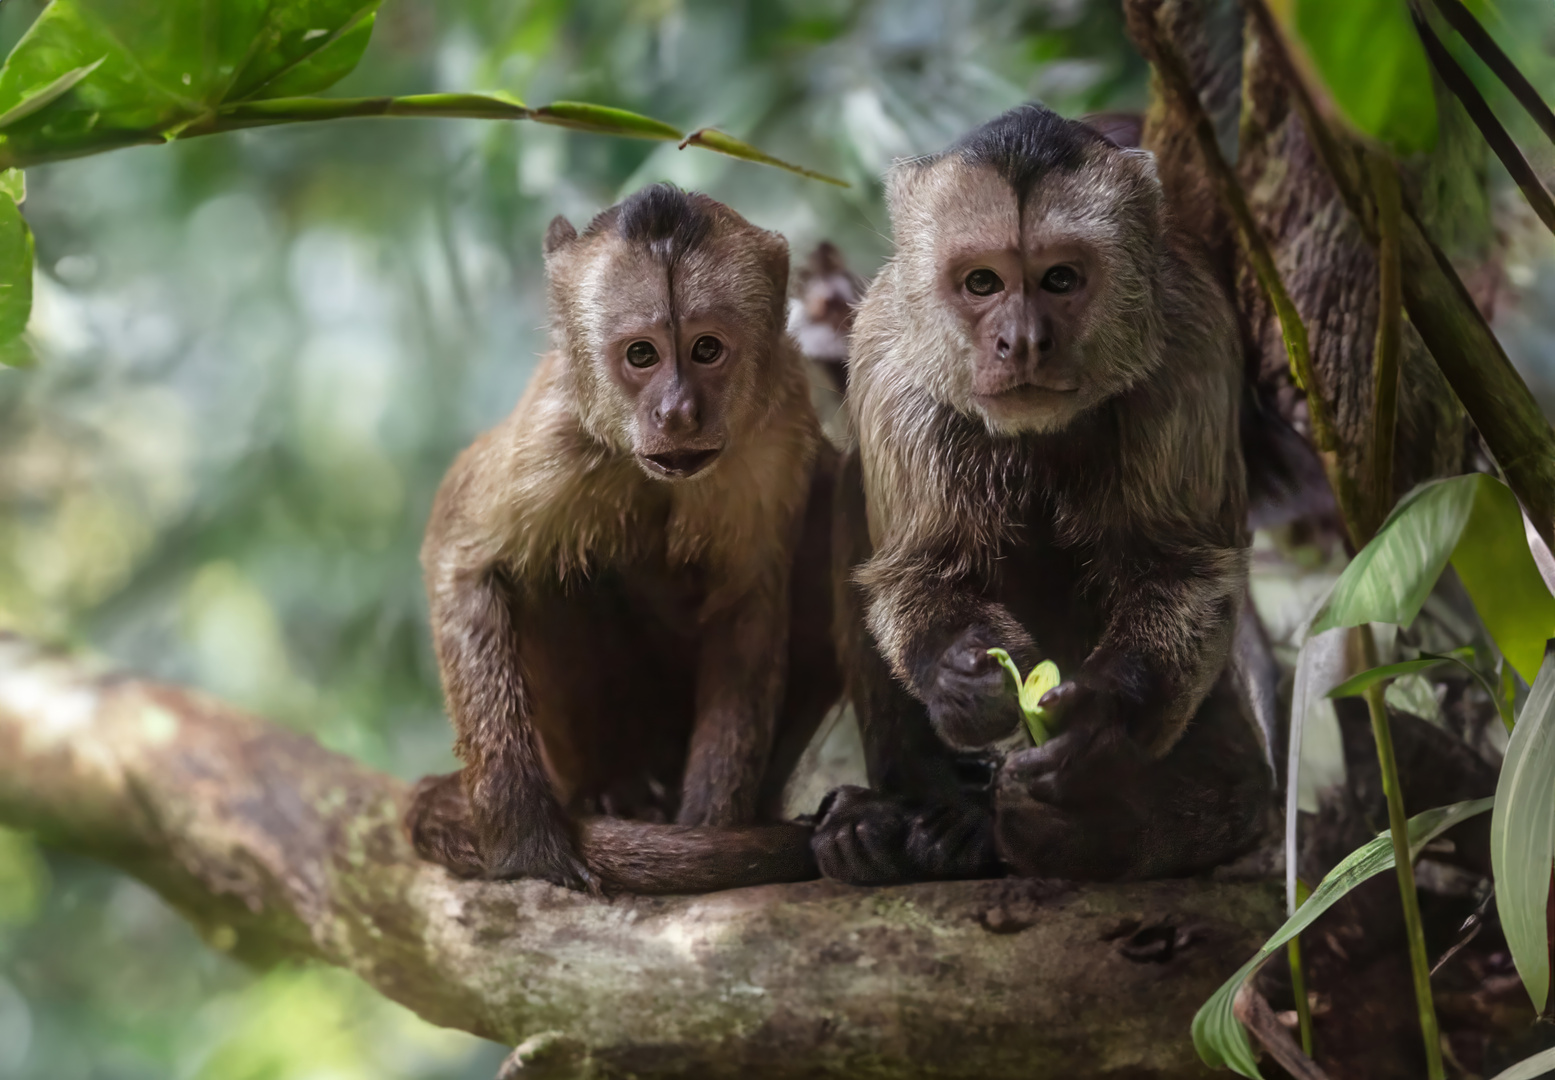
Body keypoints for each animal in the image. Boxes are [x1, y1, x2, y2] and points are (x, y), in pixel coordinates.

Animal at [401, 185, 839, 895]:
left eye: (706, 349)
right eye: (642, 356)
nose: (678, 412)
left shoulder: (778, 432)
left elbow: (749, 606)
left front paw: (711, 831)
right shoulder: (552, 434)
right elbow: (462, 558)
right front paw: (524, 841)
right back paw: (615, 792)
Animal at [821, 105, 1268, 888]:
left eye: (1060, 279)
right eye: (981, 283)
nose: (1022, 341)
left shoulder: (1190, 345)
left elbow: (1182, 573)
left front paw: (1100, 724)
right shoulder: (886, 356)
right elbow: (915, 571)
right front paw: (959, 676)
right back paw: (908, 811)